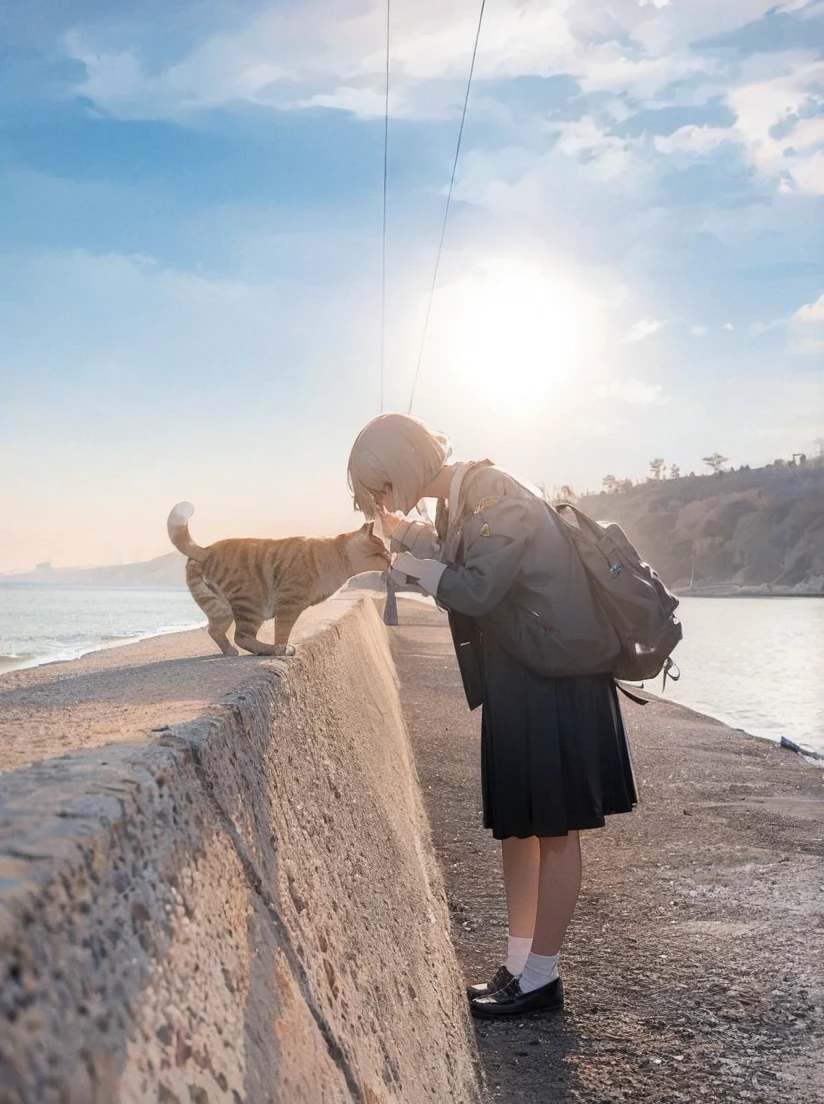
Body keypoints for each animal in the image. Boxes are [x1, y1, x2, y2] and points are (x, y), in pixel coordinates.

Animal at [166, 505, 388, 657]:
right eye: (381, 550)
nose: (390, 557)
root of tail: (206, 550)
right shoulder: (290, 601)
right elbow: (283, 630)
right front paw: (283, 648)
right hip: (251, 602)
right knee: (242, 636)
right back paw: (270, 650)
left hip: (219, 608)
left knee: (216, 631)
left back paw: (230, 651)